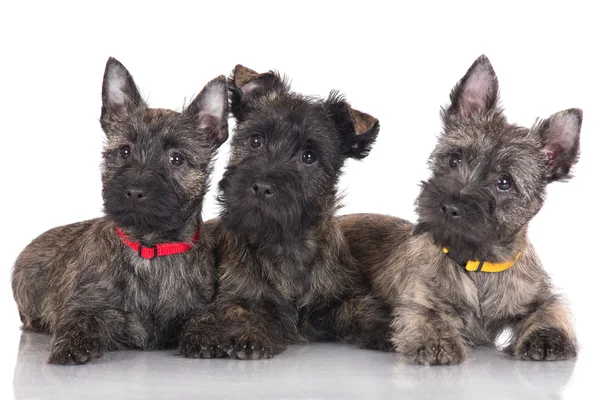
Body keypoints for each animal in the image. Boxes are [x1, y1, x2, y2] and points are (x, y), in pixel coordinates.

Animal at [14, 57, 230, 364]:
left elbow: (202, 316)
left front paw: (205, 336)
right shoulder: (83, 305)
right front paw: (71, 345)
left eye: (176, 159)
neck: (150, 250)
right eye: (125, 151)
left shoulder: (197, 305)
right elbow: (77, 319)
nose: (135, 191)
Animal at [180, 65, 392, 360]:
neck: (284, 246)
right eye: (255, 140)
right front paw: (250, 335)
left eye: (309, 157)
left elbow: (363, 307)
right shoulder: (234, 294)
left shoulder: (342, 296)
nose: (262, 187)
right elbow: (238, 310)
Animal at [342, 54, 580, 364]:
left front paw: (547, 337)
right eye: (455, 159)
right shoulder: (420, 299)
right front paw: (437, 343)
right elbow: (429, 316)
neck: (478, 265)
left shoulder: (538, 295)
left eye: (505, 182)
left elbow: (551, 309)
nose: (449, 207)